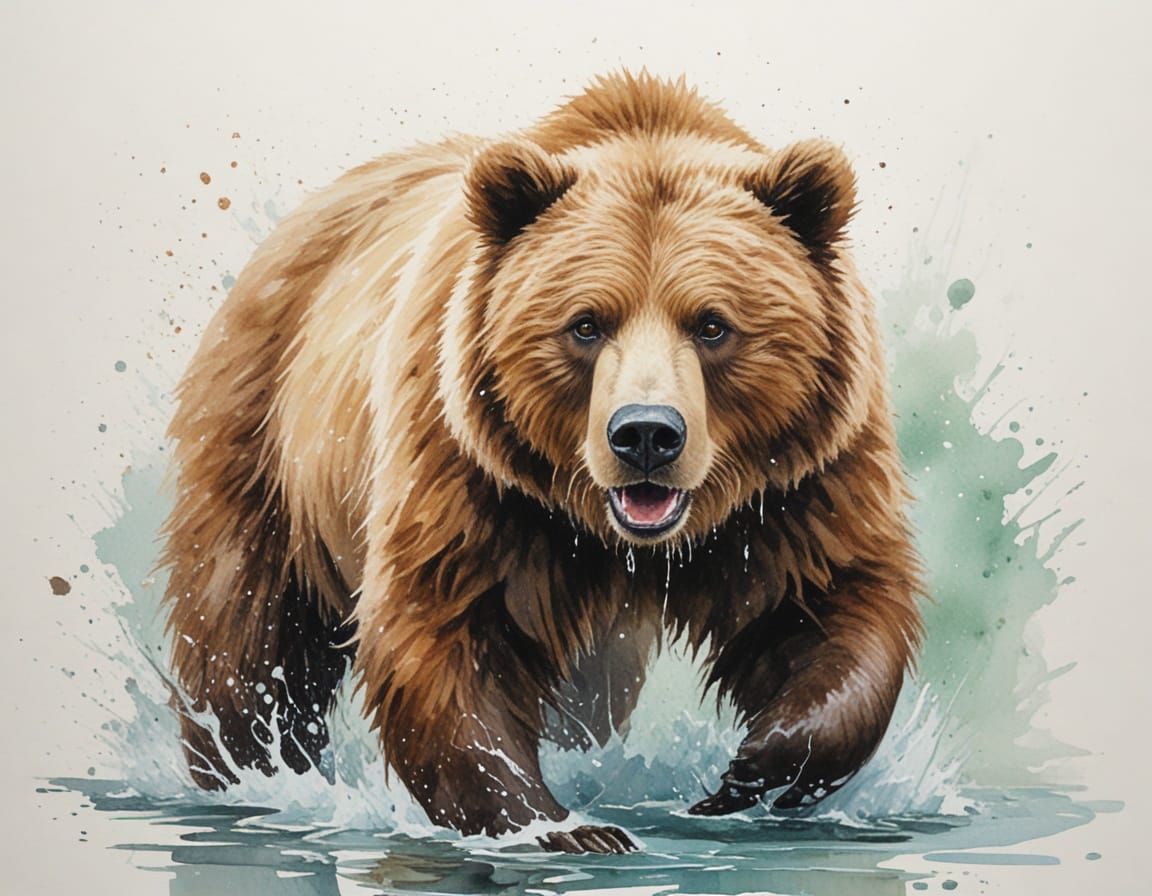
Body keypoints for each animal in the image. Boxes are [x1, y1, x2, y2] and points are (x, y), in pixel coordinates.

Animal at [161, 70, 922, 855]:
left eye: (713, 324)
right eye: (585, 324)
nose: (646, 435)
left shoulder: (799, 483)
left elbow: (830, 603)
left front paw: (747, 773)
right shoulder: (473, 466)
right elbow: (445, 631)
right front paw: (565, 828)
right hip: (267, 444)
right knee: (251, 636)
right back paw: (249, 769)